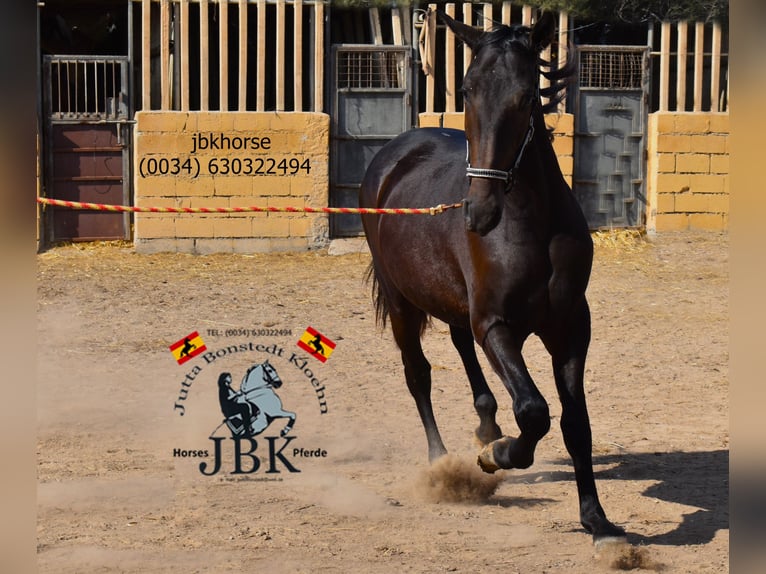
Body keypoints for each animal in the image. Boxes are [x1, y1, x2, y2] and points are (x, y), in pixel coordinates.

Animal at [364, 11, 628, 548]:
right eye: (465, 90)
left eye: (527, 96)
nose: (479, 213)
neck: (529, 226)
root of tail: (392, 154)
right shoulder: (497, 326)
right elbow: (533, 410)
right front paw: (498, 455)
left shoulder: (570, 329)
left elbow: (575, 424)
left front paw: (597, 520)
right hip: (402, 303)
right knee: (418, 374)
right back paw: (443, 462)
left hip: (452, 301)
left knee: (461, 346)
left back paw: (486, 425)